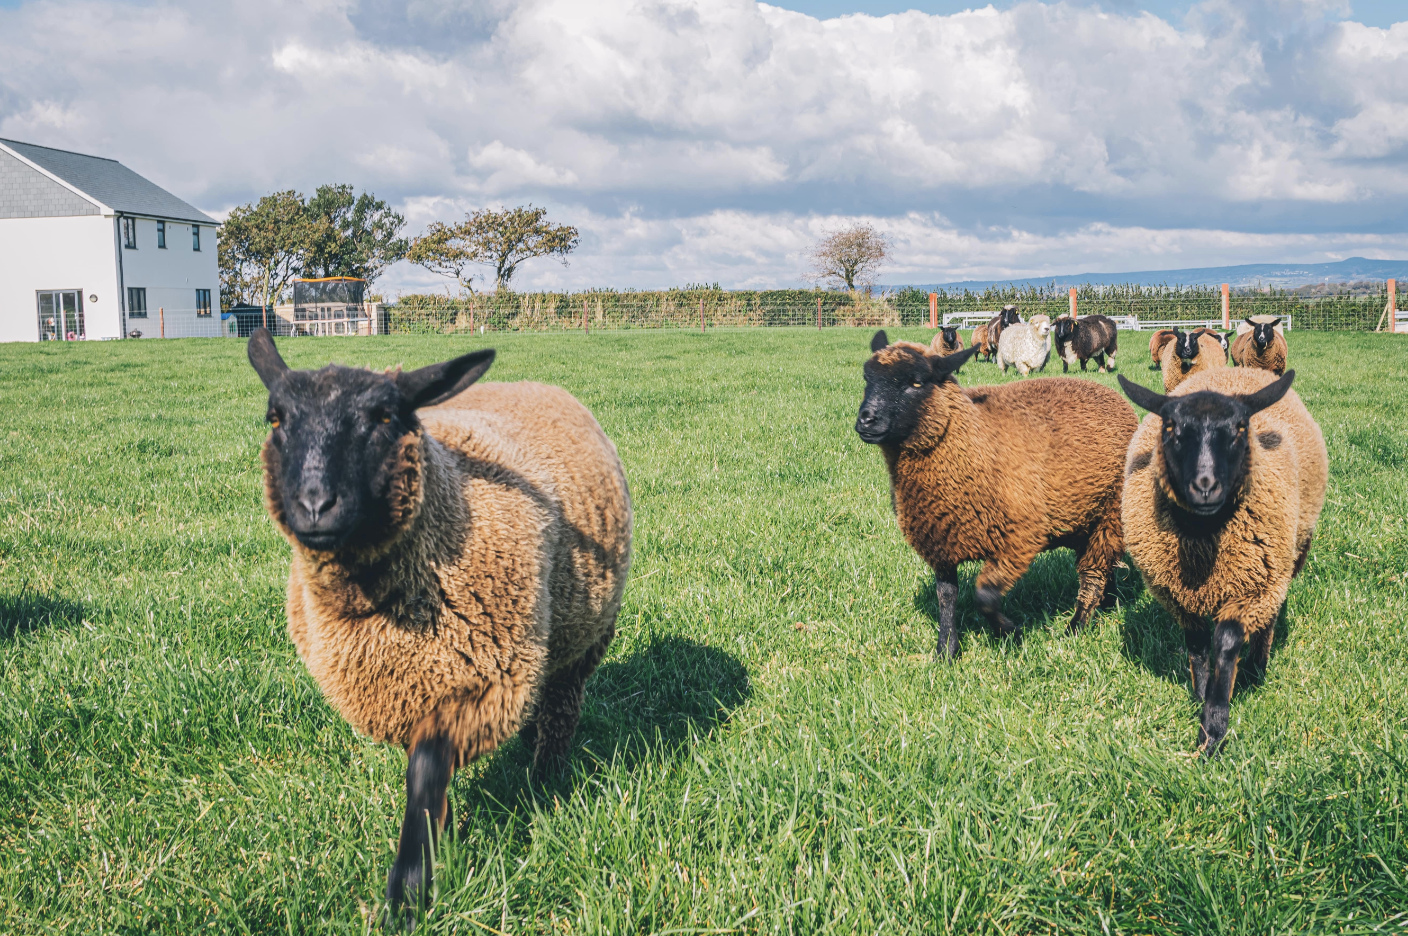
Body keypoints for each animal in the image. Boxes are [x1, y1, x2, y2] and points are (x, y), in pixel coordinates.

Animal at [247, 330, 633, 917]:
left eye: (384, 415)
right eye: (276, 418)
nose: (314, 505)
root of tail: (537, 385)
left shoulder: (480, 684)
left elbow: (425, 772)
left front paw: (408, 891)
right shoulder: (407, 686)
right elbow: (430, 779)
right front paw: (440, 842)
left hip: (583, 635)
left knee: (562, 706)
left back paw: (544, 780)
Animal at [850, 332, 1137, 653]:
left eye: (917, 382)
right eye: (867, 378)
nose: (866, 420)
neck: (972, 440)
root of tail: (1112, 396)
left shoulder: (1020, 539)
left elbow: (984, 597)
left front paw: (1011, 632)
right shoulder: (942, 542)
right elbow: (946, 597)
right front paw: (946, 651)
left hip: (1110, 513)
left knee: (1093, 574)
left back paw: (1076, 626)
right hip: (1084, 518)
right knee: (1103, 565)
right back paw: (1108, 603)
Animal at [1115, 368, 1323, 754]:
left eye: (1241, 428)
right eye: (1171, 427)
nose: (1205, 486)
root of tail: (1238, 370)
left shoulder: (1252, 588)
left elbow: (1226, 645)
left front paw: (1212, 730)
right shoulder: (1178, 594)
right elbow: (1197, 645)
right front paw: (1200, 693)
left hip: (1287, 559)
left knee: (1270, 617)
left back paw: (1256, 668)